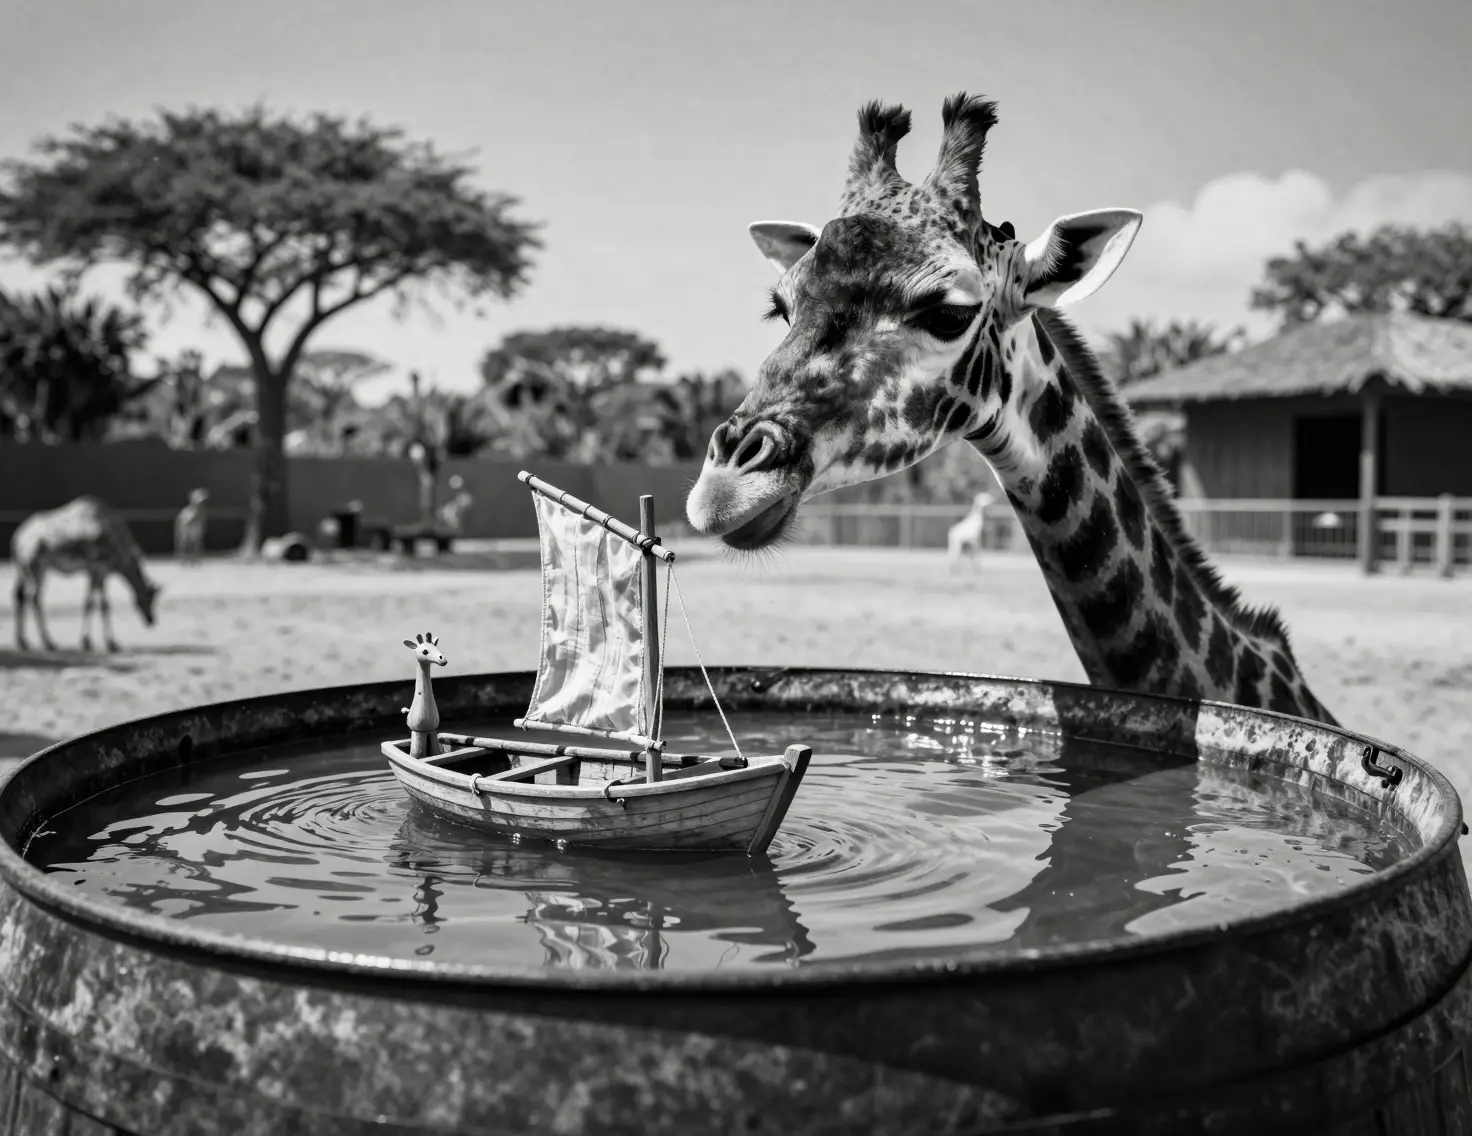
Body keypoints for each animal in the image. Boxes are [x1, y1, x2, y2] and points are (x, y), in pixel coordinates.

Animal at [11, 496, 162, 653]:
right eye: (150, 598)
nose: (151, 620)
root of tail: (17, 540)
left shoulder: (96, 572)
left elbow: (95, 603)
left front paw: (96, 642)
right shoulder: (98, 569)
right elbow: (98, 604)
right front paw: (103, 643)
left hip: (26, 569)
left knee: (20, 595)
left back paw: (23, 642)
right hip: (34, 567)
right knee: (33, 597)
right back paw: (49, 643)